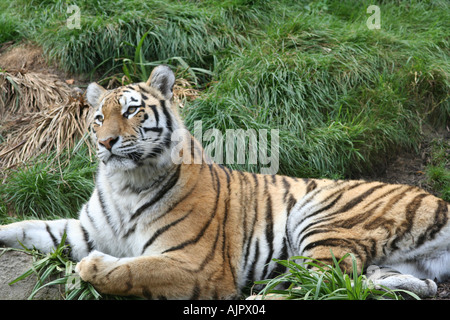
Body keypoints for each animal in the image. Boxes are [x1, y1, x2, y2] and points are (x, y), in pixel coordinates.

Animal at [0, 65, 450, 300]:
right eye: (98, 117)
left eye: (130, 111)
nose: (105, 142)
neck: (124, 183)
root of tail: (440, 200)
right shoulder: (85, 230)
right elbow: (27, 228)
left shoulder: (197, 265)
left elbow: (136, 269)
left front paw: (91, 267)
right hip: (397, 264)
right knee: (395, 284)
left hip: (320, 217)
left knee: (321, 285)